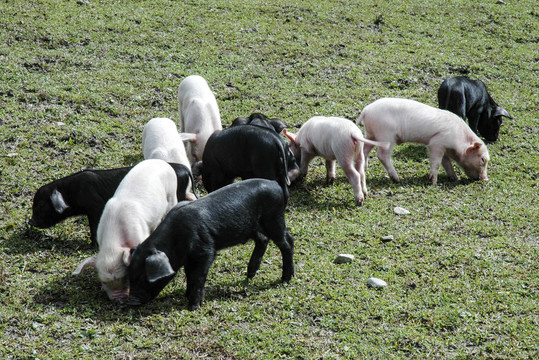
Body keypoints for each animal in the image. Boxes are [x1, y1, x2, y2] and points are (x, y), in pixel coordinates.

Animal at [28, 163, 195, 245]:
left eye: (41, 205)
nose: (30, 221)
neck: (71, 192)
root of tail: (185, 169)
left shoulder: (95, 207)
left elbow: (94, 227)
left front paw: (93, 245)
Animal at [73, 159, 178, 302]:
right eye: (104, 281)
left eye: (125, 277)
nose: (118, 299)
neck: (112, 244)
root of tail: (160, 161)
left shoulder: (140, 235)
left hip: (172, 193)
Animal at [126, 179, 296, 310]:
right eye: (130, 275)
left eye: (143, 277)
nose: (131, 301)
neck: (174, 240)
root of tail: (275, 184)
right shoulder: (189, 257)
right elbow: (189, 274)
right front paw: (186, 294)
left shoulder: (205, 250)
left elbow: (198, 276)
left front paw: (193, 307)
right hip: (253, 225)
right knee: (264, 239)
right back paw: (249, 275)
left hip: (274, 218)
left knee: (287, 242)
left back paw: (285, 279)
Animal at [356, 97, 492, 184]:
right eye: (482, 159)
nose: (485, 179)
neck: (459, 139)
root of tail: (366, 111)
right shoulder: (436, 142)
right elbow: (437, 162)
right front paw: (433, 182)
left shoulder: (443, 147)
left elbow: (446, 162)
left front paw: (454, 178)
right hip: (386, 135)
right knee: (382, 155)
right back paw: (396, 179)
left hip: (371, 134)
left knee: (365, 149)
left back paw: (365, 169)